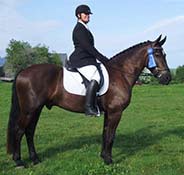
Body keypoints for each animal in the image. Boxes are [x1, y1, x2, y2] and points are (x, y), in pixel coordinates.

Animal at [6, 34, 171, 167]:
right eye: (157, 53)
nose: (167, 78)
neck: (121, 73)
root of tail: (23, 71)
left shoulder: (109, 113)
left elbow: (105, 134)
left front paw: (103, 157)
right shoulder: (115, 112)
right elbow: (111, 136)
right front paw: (109, 161)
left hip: (36, 109)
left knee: (29, 131)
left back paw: (35, 159)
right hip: (29, 110)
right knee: (19, 131)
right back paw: (19, 161)